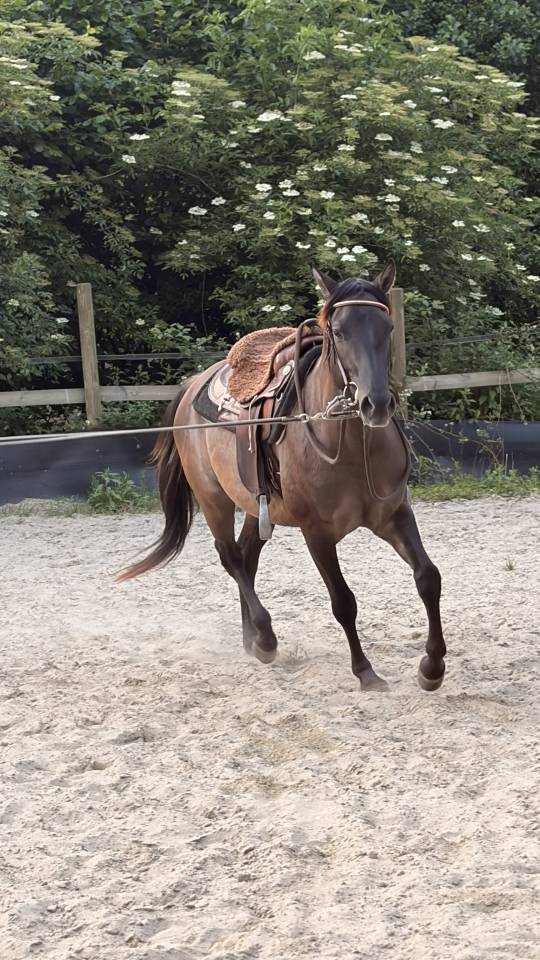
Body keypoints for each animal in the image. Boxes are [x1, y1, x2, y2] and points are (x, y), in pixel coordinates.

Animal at [117, 262, 446, 693]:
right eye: (338, 331)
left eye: (388, 327)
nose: (374, 404)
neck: (350, 447)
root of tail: (193, 384)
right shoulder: (316, 532)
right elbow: (343, 601)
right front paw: (365, 671)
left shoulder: (395, 515)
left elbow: (428, 577)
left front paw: (432, 667)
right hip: (213, 500)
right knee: (231, 558)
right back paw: (265, 637)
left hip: (256, 507)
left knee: (247, 556)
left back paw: (251, 639)